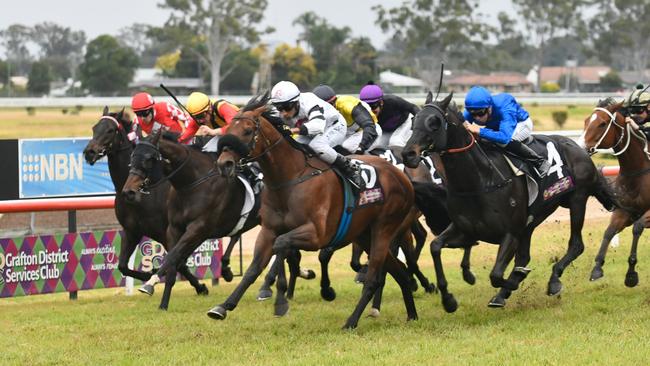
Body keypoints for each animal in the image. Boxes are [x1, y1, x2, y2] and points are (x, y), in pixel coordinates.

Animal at [82, 106, 205, 294]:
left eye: (110, 130)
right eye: (94, 128)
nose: (89, 152)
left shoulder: (164, 232)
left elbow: (178, 261)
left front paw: (200, 286)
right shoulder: (131, 231)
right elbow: (122, 266)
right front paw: (149, 275)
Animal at [121, 132, 260, 308]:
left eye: (149, 159)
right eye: (132, 157)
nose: (128, 192)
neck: (192, 184)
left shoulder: (197, 228)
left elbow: (172, 257)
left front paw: (150, 283)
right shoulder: (173, 229)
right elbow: (174, 263)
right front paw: (163, 305)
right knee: (237, 236)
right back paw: (227, 270)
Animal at [209, 93, 420, 328]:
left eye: (247, 131)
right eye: (228, 130)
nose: (224, 164)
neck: (290, 178)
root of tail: (402, 176)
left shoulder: (316, 234)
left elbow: (281, 245)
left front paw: (281, 302)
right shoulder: (268, 231)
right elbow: (253, 269)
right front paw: (223, 306)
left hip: (384, 228)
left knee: (374, 278)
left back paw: (351, 321)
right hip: (365, 234)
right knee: (399, 272)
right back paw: (411, 314)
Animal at [398, 93, 616, 310]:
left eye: (434, 123)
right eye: (414, 121)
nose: (408, 154)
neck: (480, 181)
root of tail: (578, 148)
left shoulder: (510, 233)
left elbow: (495, 275)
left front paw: (513, 281)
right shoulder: (467, 232)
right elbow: (435, 246)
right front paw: (448, 299)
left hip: (577, 199)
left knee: (576, 245)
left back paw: (553, 281)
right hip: (531, 223)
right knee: (525, 255)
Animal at [580, 101, 644, 286]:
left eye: (602, 124)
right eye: (586, 121)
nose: (581, 147)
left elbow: (637, 227)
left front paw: (631, 274)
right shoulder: (625, 210)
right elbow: (609, 231)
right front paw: (597, 268)